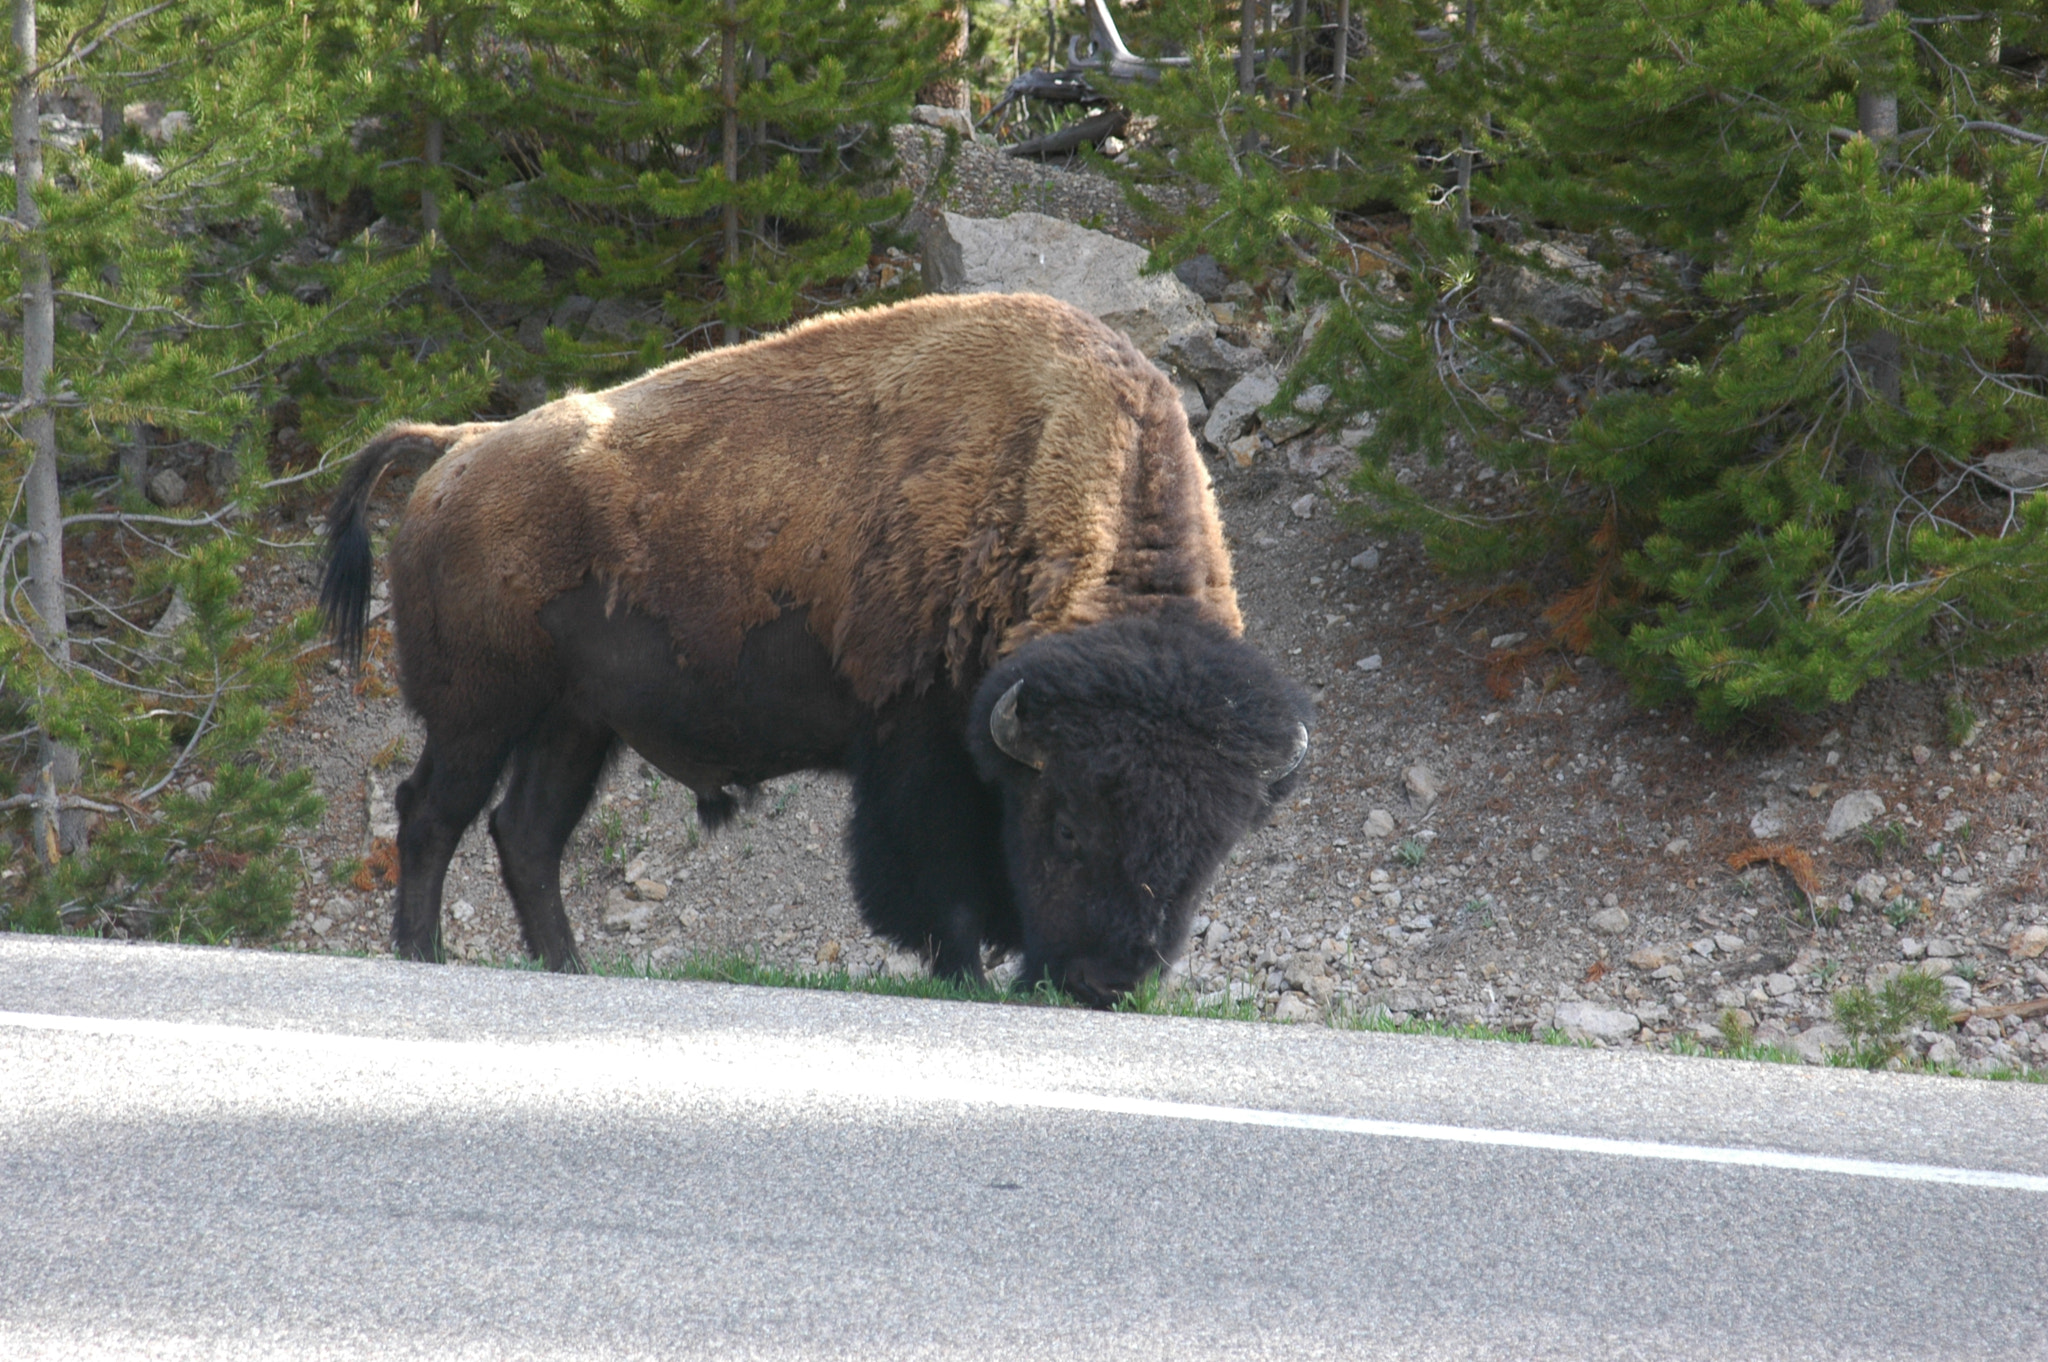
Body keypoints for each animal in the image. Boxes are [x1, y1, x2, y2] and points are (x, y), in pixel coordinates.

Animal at [319, 292, 1310, 1003]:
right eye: (1066, 824)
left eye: (1213, 849)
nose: (1108, 983)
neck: (1029, 477)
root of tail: (460, 447)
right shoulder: (917, 746)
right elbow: (939, 878)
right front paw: (962, 974)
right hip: (480, 716)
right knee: (430, 813)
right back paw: (424, 953)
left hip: (575, 725)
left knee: (525, 834)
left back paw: (568, 967)